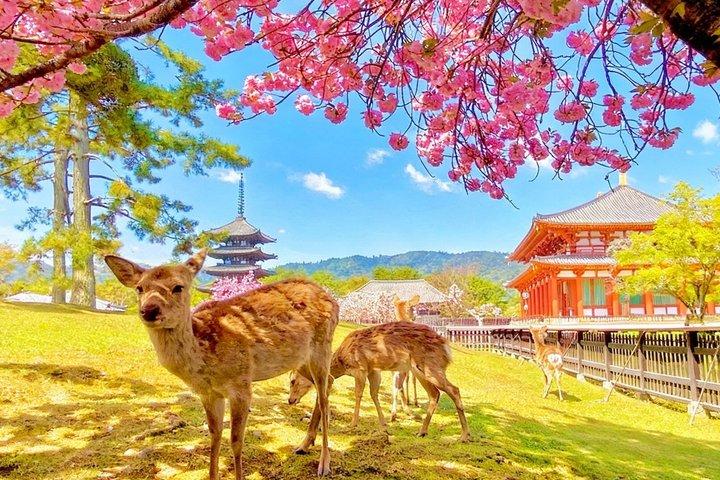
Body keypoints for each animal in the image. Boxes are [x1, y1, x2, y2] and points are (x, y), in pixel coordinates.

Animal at [104, 250, 338, 479]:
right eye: (139, 288)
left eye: (178, 287)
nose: (149, 310)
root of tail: (332, 299)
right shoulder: (208, 393)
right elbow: (214, 436)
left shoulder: (241, 384)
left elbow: (236, 441)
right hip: (301, 359)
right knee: (328, 382)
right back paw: (304, 445)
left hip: (322, 345)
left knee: (324, 396)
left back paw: (324, 464)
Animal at [289, 321, 470, 442]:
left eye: (292, 380)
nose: (290, 400)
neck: (342, 360)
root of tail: (446, 348)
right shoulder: (373, 370)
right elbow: (374, 394)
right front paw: (384, 425)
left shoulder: (360, 367)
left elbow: (359, 394)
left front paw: (353, 424)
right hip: (419, 371)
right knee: (435, 394)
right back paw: (422, 431)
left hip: (430, 367)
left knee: (454, 389)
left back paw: (464, 436)